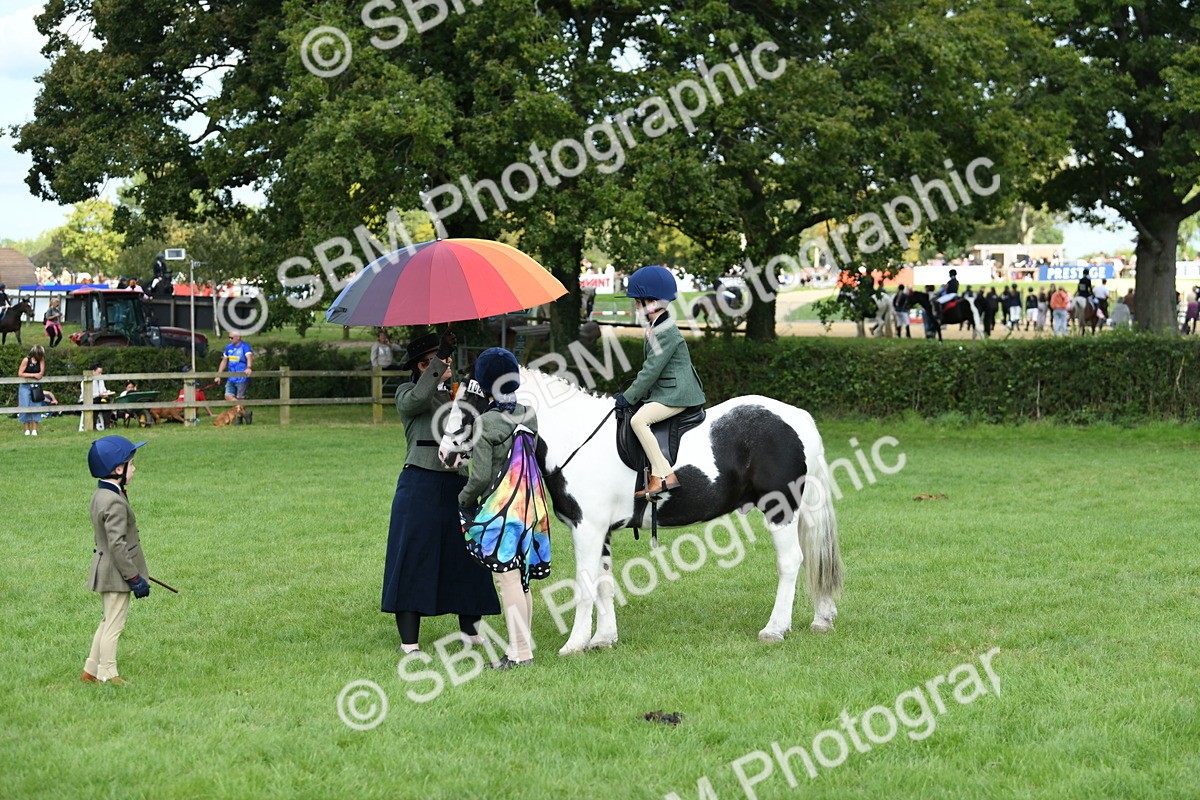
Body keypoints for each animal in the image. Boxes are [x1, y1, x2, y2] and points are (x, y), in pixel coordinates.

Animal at [439, 367, 844, 655]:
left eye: (473, 404)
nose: (445, 453)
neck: (576, 437)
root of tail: (797, 418)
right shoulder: (600, 532)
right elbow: (603, 583)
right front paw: (603, 639)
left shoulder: (587, 529)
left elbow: (585, 585)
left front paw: (575, 644)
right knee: (814, 557)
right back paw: (822, 619)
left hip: (780, 510)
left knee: (791, 562)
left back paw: (775, 629)